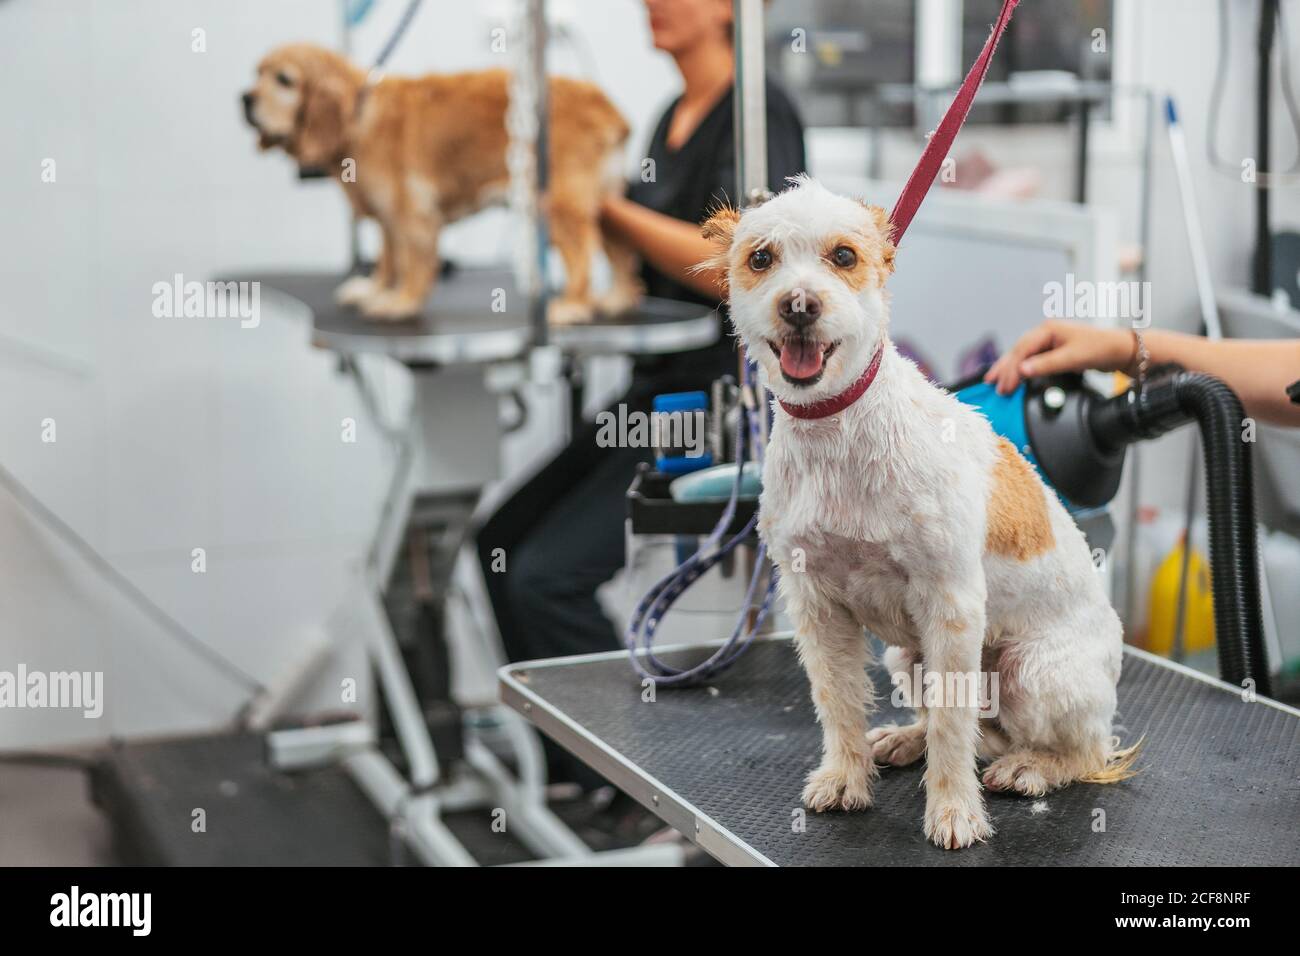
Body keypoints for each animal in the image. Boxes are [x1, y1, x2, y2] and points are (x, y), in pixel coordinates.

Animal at [702, 179, 1138, 853]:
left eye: (844, 256)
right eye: (760, 259)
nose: (799, 304)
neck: (838, 430)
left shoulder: (951, 606)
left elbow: (954, 730)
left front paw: (954, 810)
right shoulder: (816, 602)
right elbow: (839, 701)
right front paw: (847, 776)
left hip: (1028, 672)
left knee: (1077, 750)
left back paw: (1032, 767)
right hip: (905, 658)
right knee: (964, 726)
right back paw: (907, 740)